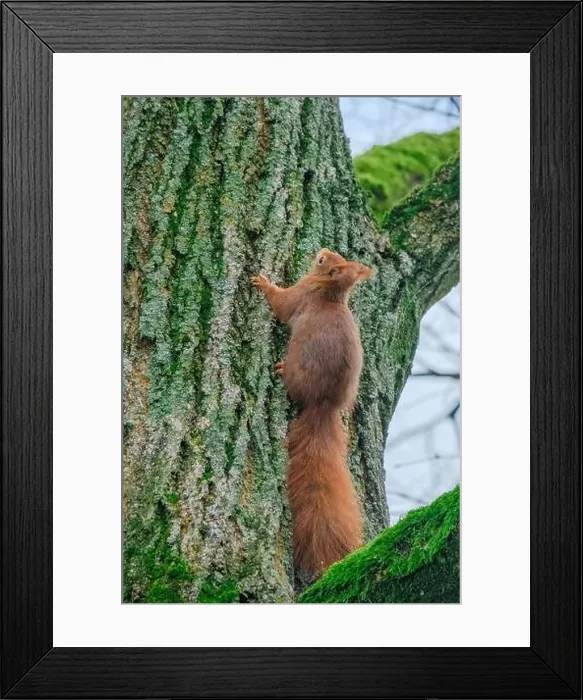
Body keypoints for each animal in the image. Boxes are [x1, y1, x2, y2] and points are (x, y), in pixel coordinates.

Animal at [251, 248, 374, 578]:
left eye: (322, 262)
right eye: (335, 256)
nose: (321, 251)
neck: (329, 292)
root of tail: (323, 405)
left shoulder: (300, 294)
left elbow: (281, 303)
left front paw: (263, 283)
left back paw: (282, 371)